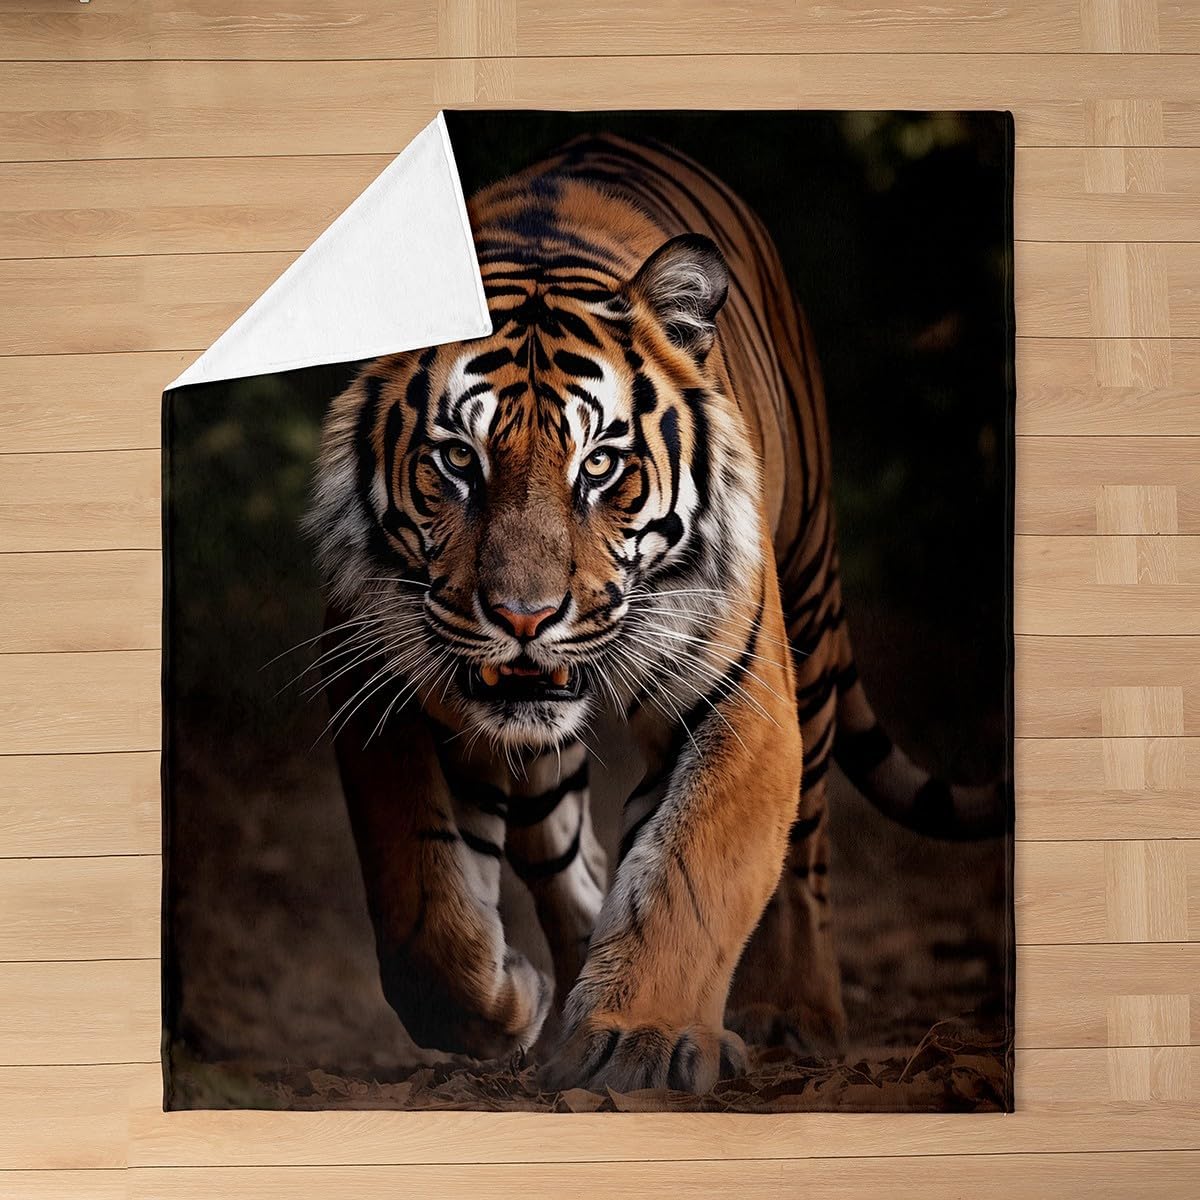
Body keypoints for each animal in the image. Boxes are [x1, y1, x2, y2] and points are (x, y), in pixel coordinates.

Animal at [303, 132, 1006, 1094]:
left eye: (599, 465)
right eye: (457, 460)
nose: (523, 618)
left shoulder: (740, 696)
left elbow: (692, 870)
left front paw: (637, 1039)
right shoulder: (379, 678)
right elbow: (417, 902)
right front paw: (510, 1006)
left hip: (812, 614)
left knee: (808, 848)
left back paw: (797, 1016)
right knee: (560, 853)